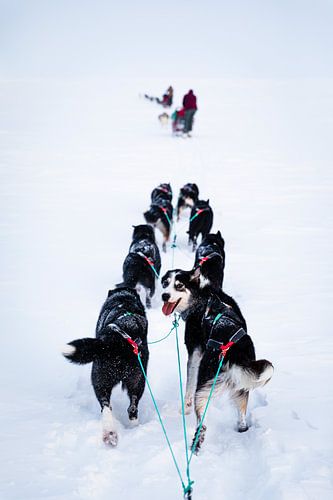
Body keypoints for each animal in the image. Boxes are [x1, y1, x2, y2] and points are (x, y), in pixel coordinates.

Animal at [63, 288, 148, 448]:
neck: (124, 301)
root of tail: (118, 342)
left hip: (101, 379)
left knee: (106, 406)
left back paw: (109, 433)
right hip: (136, 380)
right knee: (132, 408)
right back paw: (120, 431)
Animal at [161, 268, 272, 456]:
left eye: (179, 285)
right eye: (165, 283)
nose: (164, 295)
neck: (202, 298)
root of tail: (233, 352)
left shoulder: (194, 354)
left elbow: (188, 385)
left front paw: (184, 409)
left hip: (202, 390)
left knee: (202, 425)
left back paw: (194, 448)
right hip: (241, 388)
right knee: (242, 419)